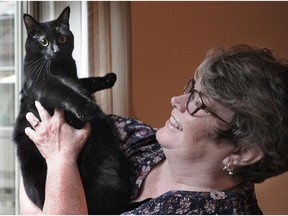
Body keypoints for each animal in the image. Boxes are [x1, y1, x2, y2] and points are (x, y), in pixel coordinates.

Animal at [13, 6, 130, 214]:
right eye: (43, 41)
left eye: (62, 39)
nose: (56, 50)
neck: (60, 67)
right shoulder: (43, 84)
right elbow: (66, 91)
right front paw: (87, 108)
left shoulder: (74, 77)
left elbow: (84, 82)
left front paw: (108, 78)